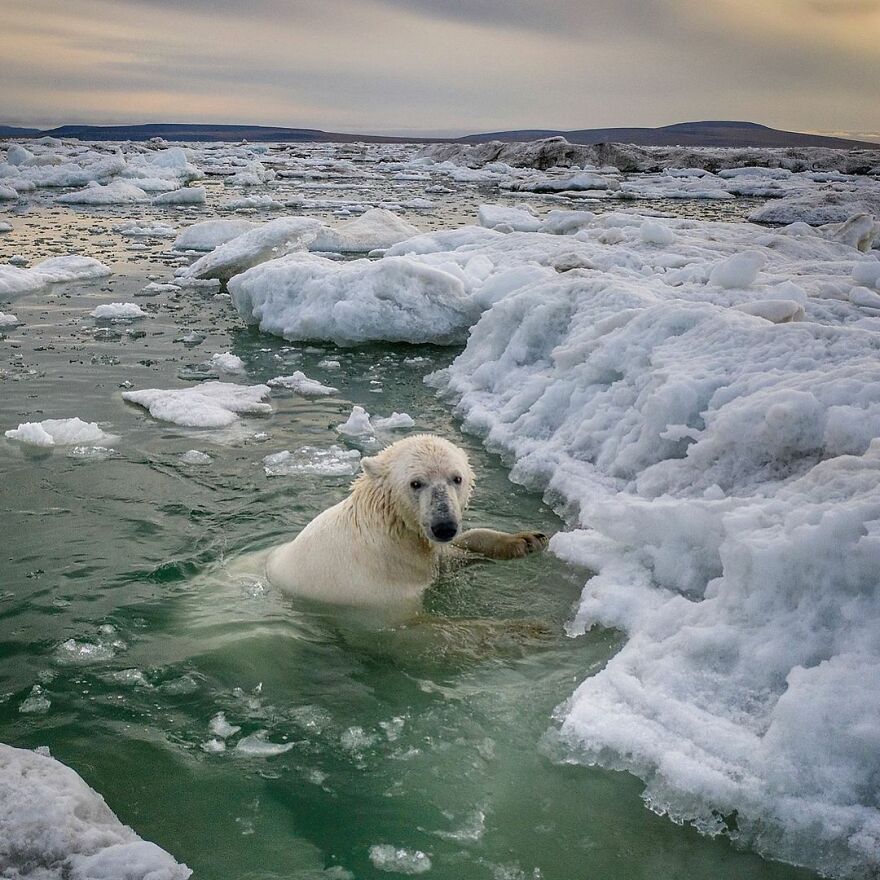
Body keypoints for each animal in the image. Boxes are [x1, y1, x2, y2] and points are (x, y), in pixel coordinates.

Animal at [264, 432, 548, 612]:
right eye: (416, 483)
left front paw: (527, 540)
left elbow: (449, 557)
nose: (444, 526)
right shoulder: (376, 592)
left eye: (457, 478)